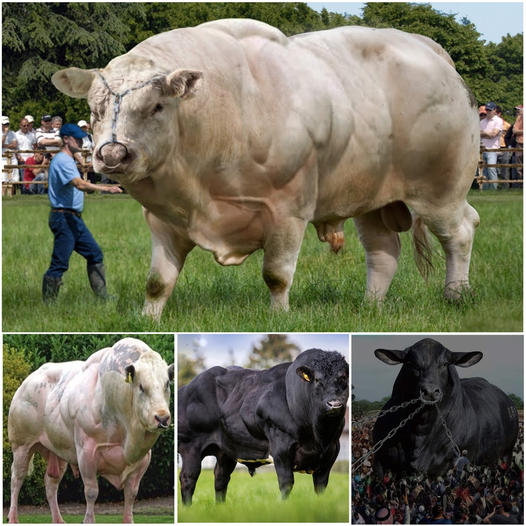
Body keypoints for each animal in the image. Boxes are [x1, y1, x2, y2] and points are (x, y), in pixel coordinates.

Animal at [6, 340, 175, 524]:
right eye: (141, 387)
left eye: (167, 384)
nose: (162, 418)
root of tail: (28, 379)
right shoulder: (86, 453)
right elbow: (92, 492)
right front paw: (88, 520)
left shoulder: (143, 460)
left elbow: (131, 494)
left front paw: (128, 520)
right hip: (21, 444)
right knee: (17, 479)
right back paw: (13, 517)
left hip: (59, 451)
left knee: (51, 484)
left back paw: (58, 519)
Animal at [51, 18, 480, 320]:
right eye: (94, 109)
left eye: (156, 106)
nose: (112, 155)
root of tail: (429, 49)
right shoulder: (163, 219)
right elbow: (158, 282)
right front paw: (149, 320)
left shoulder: (287, 211)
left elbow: (277, 274)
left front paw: (279, 317)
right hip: (372, 197)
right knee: (383, 252)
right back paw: (371, 305)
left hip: (440, 191)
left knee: (459, 232)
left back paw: (456, 295)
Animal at [178, 350, 350, 508]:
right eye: (317, 380)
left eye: (343, 378)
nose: (334, 404)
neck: (318, 435)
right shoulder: (281, 447)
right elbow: (286, 482)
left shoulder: (331, 452)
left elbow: (321, 487)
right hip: (191, 446)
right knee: (188, 477)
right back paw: (188, 509)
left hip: (226, 450)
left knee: (220, 478)